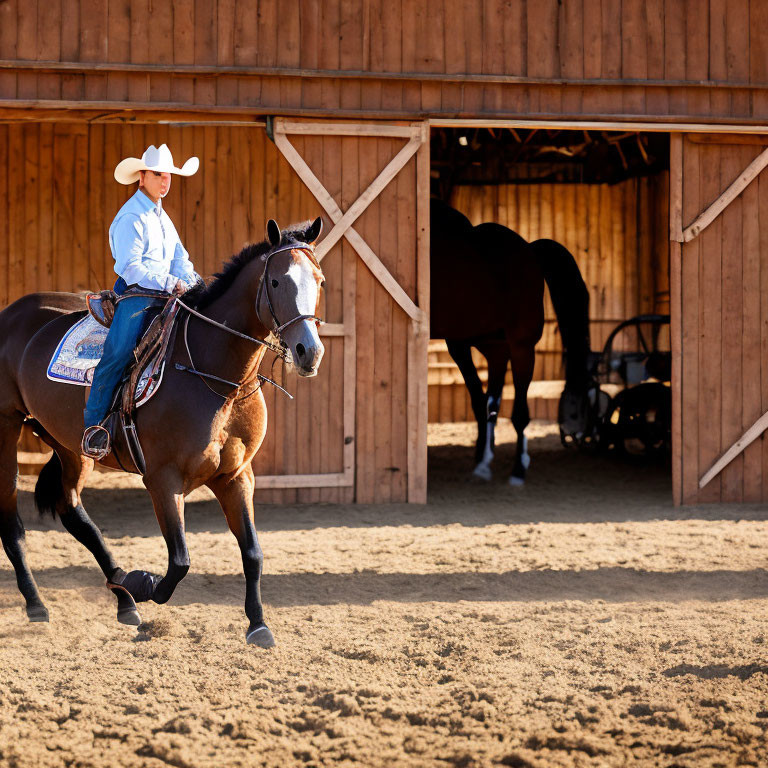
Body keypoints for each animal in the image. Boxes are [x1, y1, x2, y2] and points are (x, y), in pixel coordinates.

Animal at [0, 218, 324, 648]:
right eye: (275, 281)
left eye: (319, 281)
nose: (309, 352)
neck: (214, 374)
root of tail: (10, 314)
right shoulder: (162, 480)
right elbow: (180, 560)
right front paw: (143, 584)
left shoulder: (237, 475)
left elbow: (252, 552)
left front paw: (258, 625)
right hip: (6, 430)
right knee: (12, 523)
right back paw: (40, 603)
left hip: (71, 444)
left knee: (73, 512)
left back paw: (122, 597)